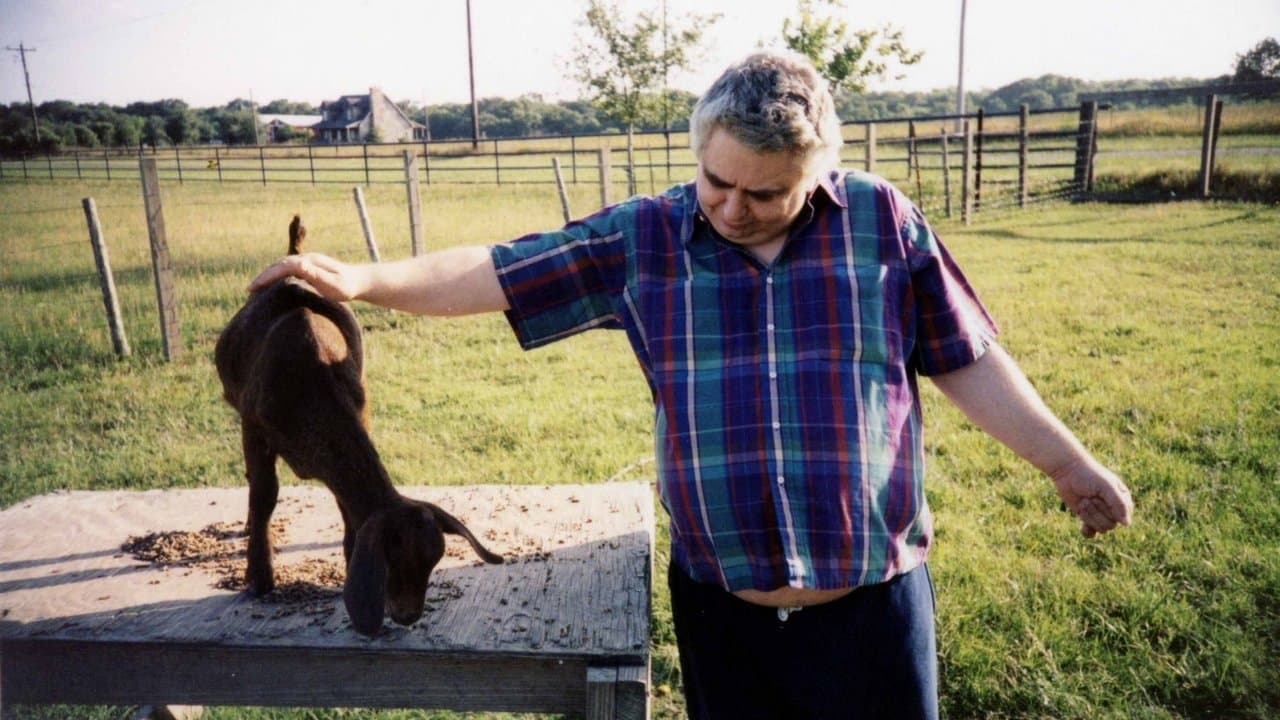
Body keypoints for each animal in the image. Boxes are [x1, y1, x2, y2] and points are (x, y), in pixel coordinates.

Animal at [215, 212, 499, 632]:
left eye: (433, 562)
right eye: (392, 563)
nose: (408, 616)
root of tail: (294, 254)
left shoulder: (359, 410)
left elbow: (343, 502)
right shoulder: (253, 424)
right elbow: (264, 491)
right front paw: (259, 579)